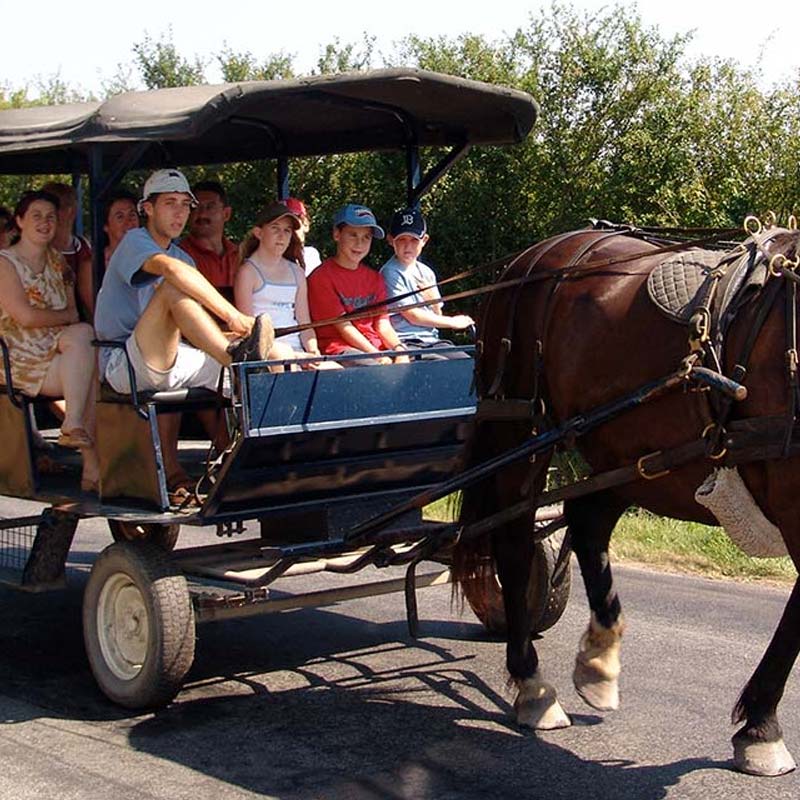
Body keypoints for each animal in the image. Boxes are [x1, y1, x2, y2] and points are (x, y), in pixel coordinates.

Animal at [454, 223, 800, 776]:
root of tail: (533, 256)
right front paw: (761, 728)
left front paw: (759, 725)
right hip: (523, 425)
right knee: (513, 541)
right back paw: (532, 686)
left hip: (628, 451)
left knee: (586, 522)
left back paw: (599, 657)